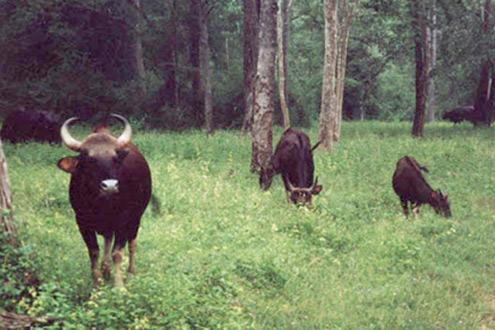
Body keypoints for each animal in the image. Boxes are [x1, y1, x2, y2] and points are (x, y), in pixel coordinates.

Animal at [57, 114, 152, 286]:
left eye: (115, 158)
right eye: (89, 159)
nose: (110, 186)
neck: (102, 204)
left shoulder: (124, 219)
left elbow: (117, 253)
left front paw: (119, 286)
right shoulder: (82, 221)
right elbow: (94, 251)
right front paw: (97, 283)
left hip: (137, 217)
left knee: (132, 243)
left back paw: (131, 271)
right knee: (108, 238)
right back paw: (105, 268)